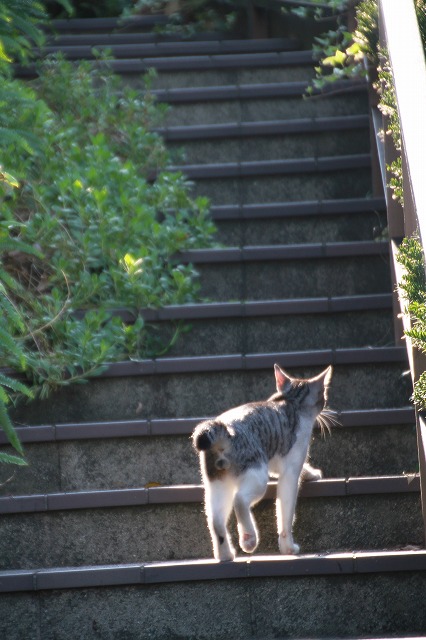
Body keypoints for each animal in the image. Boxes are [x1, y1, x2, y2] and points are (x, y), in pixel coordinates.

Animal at [192, 362, 336, 564]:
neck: (291, 401)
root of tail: (224, 430)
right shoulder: (290, 470)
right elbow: (285, 513)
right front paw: (288, 548)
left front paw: (312, 473)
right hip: (257, 476)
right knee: (239, 500)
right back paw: (249, 539)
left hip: (217, 485)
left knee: (216, 521)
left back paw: (226, 554)